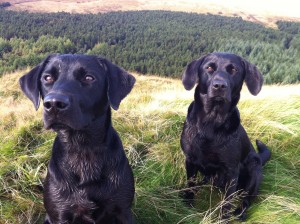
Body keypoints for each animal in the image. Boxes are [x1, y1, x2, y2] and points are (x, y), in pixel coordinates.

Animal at [19, 53, 135, 222]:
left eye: (88, 78)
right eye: (47, 78)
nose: (54, 103)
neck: (83, 149)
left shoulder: (123, 211)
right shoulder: (60, 215)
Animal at [180, 52, 272, 220]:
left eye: (233, 70)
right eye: (209, 68)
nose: (219, 86)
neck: (211, 122)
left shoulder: (231, 171)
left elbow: (227, 202)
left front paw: (223, 219)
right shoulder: (190, 160)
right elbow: (190, 184)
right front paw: (187, 205)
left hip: (254, 168)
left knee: (246, 200)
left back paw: (240, 213)